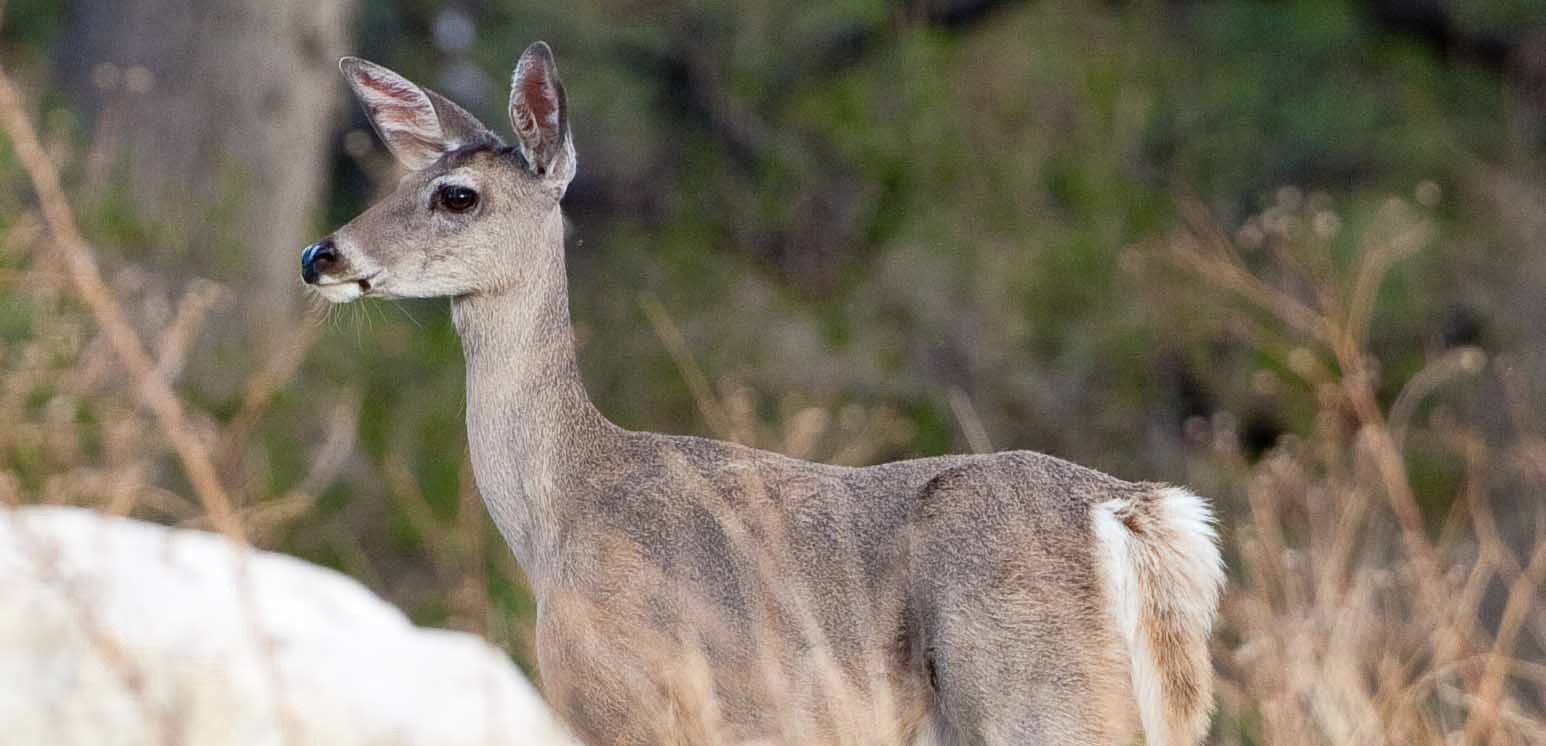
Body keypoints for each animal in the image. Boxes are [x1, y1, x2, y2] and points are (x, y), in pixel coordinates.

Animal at [298, 42, 1218, 746]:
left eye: (457, 196)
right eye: (395, 182)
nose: (321, 255)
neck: (558, 510)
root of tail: (1132, 512)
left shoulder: (623, 698)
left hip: (1037, 691)